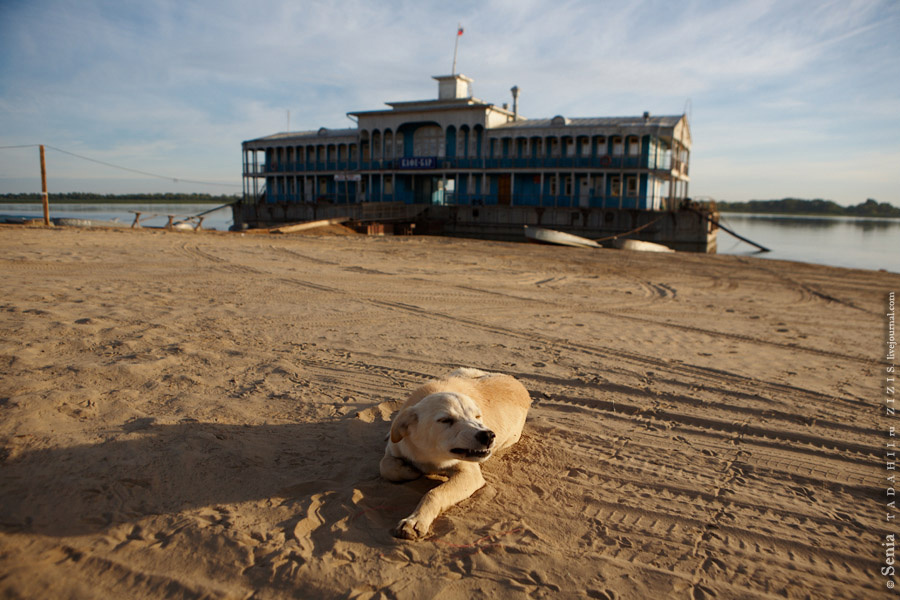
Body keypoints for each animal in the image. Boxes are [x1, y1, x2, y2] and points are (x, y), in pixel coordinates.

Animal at [378, 366, 528, 540]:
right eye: (445, 420)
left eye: (478, 416)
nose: (488, 435)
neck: (430, 455)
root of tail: (518, 383)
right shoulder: (395, 449)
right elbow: (385, 466)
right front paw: (409, 470)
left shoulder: (470, 474)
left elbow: (434, 493)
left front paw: (415, 521)